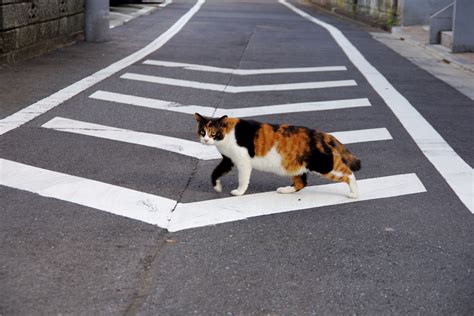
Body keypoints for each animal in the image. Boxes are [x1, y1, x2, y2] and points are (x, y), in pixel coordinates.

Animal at [194, 113, 362, 198]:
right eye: (202, 131)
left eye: (213, 133)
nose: (206, 140)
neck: (228, 133)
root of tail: (324, 135)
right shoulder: (228, 160)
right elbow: (215, 172)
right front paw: (217, 187)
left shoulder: (243, 161)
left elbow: (243, 179)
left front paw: (239, 192)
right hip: (297, 166)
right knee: (301, 183)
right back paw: (285, 190)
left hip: (323, 164)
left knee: (348, 174)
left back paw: (354, 194)